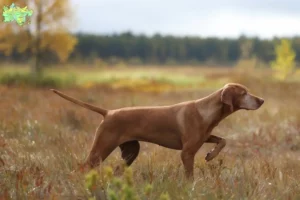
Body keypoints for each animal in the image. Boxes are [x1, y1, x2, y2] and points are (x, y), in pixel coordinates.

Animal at [50, 83, 264, 180]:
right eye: (244, 93)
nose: (261, 100)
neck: (207, 111)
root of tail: (108, 112)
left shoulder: (204, 138)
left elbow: (223, 140)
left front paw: (211, 155)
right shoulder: (187, 152)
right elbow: (189, 175)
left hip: (131, 151)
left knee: (117, 170)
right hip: (101, 149)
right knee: (81, 168)